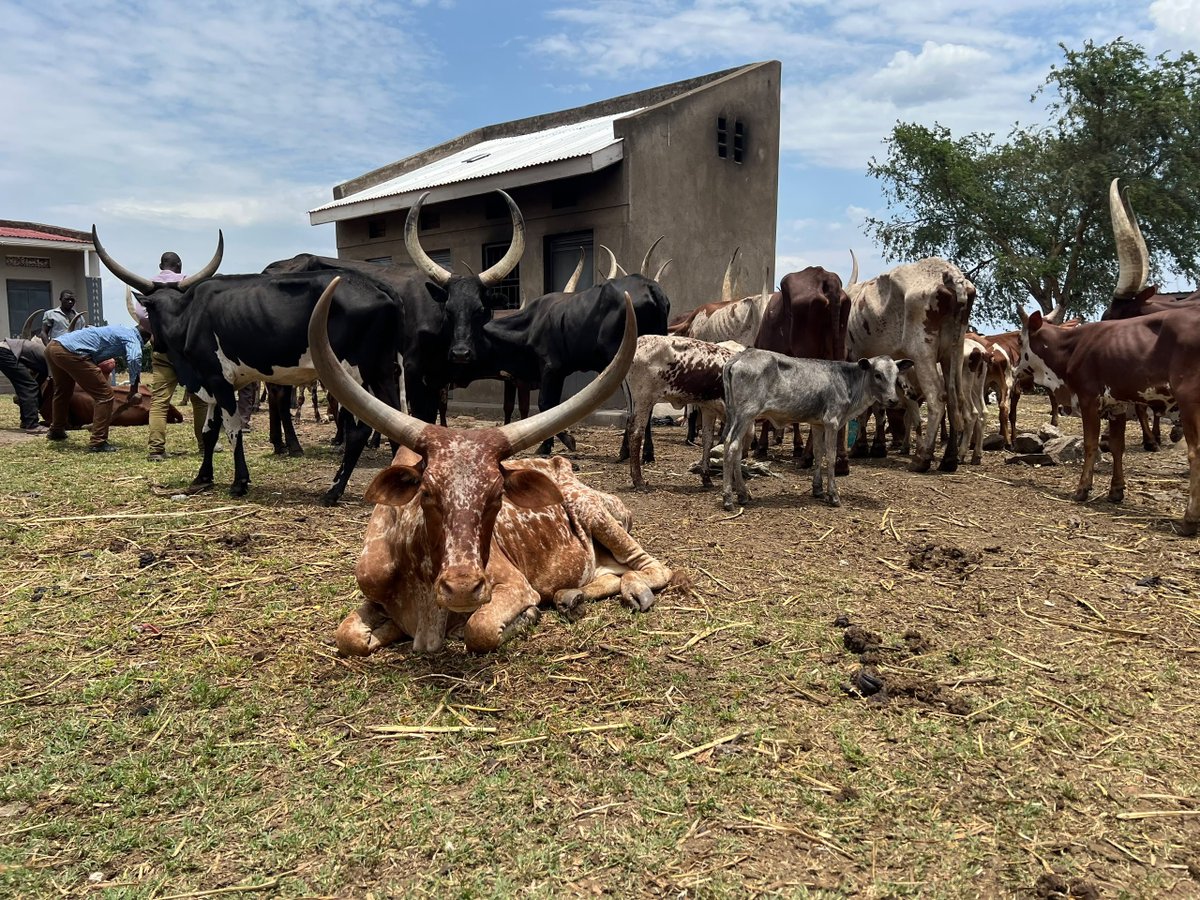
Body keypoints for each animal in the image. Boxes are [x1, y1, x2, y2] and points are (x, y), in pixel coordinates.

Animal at [93, 229, 405, 505]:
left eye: (149, 311)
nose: (154, 344)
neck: (187, 316)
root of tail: (380, 289)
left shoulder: (218, 381)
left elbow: (232, 429)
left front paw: (239, 482)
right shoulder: (214, 385)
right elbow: (209, 431)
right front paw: (202, 477)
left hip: (351, 374)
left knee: (360, 431)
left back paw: (333, 491)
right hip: (382, 371)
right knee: (392, 415)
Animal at [310, 280, 674, 654]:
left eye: (498, 496)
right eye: (426, 493)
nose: (461, 588)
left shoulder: (513, 585)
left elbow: (479, 629)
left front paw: (525, 616)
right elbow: (348, 636)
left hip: (597, 515)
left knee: (653, 567)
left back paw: (633, 591)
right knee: (608, 574)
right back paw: (570, 596)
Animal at [622, 335, 743, 489]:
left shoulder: (709, 409)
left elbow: (708, 440)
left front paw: (706, 477)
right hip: (644, 399)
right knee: (636, 433)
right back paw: (639, 480)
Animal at [720, 351, 913, 511]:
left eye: (896, 375)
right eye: (877, 375)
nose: (893, 400)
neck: (848, 382)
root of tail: (739, 357)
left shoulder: (818, 424)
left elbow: (819, 453)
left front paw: (818, 489)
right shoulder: (832, 422)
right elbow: (831, 457)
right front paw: (833, 495)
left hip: (737, 416)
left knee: (736, 449)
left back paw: (743, 494)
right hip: (746, 414)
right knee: (730, 446)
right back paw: (728, 499)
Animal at [846, 258, 975, 472]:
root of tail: (952, 276)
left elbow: (866, 409)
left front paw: (861, 447)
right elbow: (877, 408)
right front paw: (875, 447)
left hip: (923, 352)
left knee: (937, 400)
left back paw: (922, 458)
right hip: (953, 352)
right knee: (954, 400)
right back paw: (949, 459)